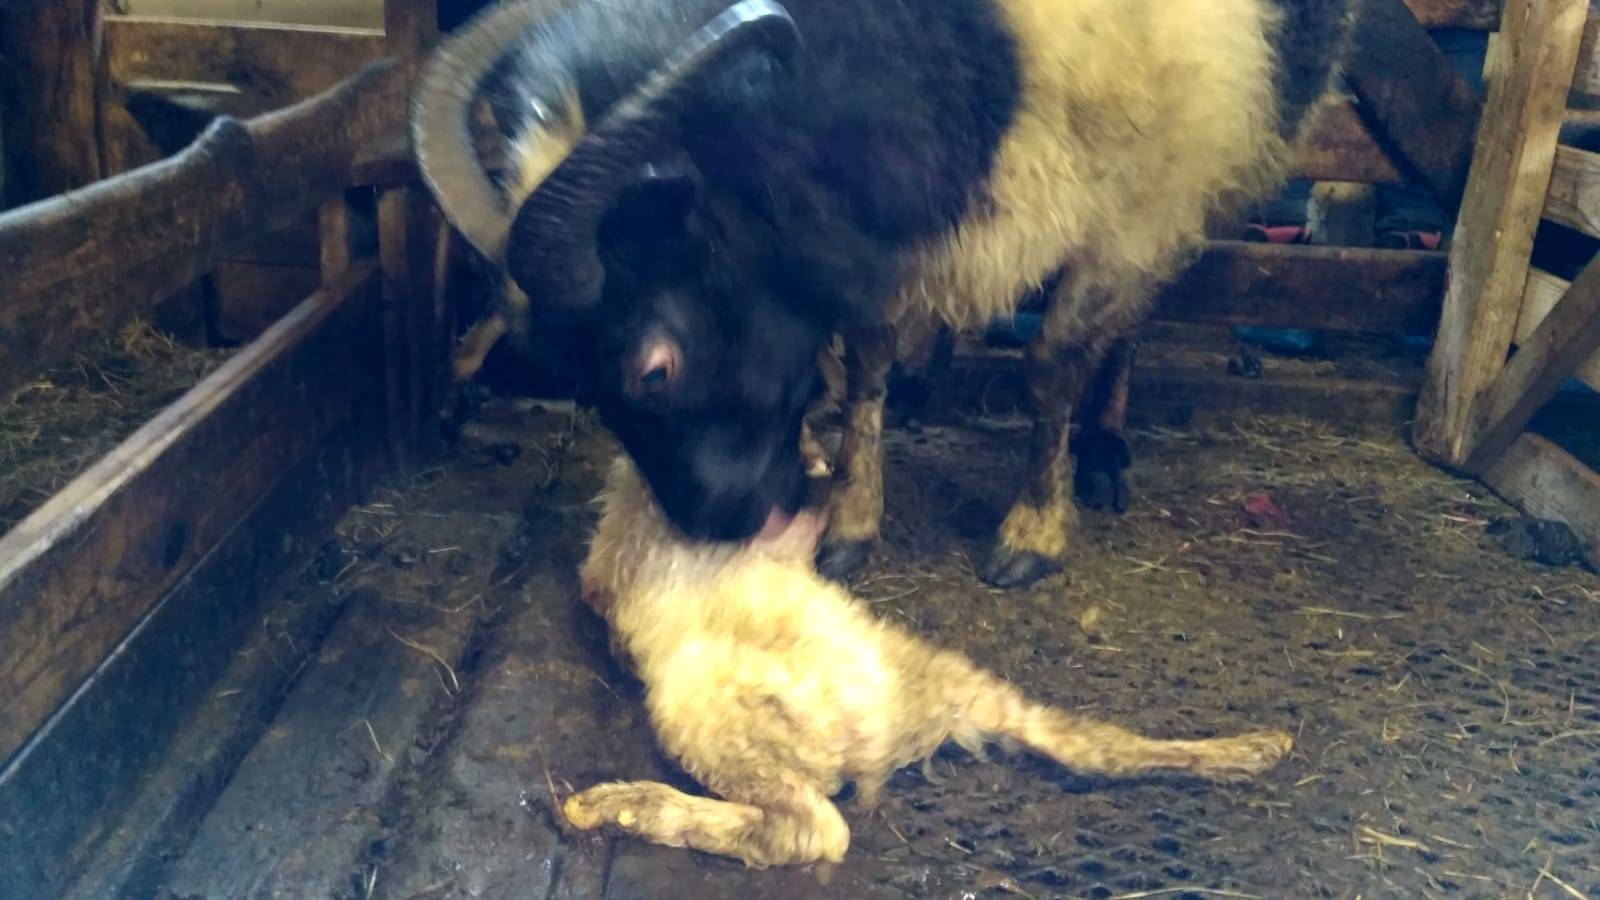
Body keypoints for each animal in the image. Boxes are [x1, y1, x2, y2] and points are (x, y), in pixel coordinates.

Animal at [411, 0, 1355, 589]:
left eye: (655, 366)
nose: (719, 525)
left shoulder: (1130, 196)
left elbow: (1052, 366)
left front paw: (1032, 535)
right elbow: (865, 361)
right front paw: (851, 524)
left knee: (1131, 320)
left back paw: (1104, 451)